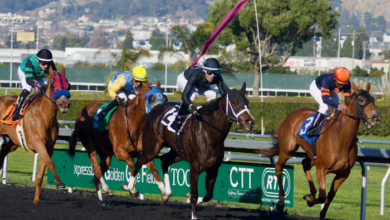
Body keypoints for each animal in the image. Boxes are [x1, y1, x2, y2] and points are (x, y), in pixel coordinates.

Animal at [0, 66, 71, 204]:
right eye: (53, 86)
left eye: (68, 86)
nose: (64, 105)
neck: (44, 115)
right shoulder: (38, 143)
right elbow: (51, 163)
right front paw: (59, 183)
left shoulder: (49, 147)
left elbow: (41, 172)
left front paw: (36, 199)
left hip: (13, 141)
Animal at [126, 82, 256, 218]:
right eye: (234, 102)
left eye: (247, 101)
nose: (249, 121)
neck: (209, 133)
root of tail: (154, 109)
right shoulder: (194, 167)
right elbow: (194, 195)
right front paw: (194, 215)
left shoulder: (213, 168)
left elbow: (209, 195)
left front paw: (192, 198)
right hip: (152, 148)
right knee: (140, 159)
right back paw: (131, 187)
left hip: (177, 152)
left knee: (164, 160)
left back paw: (166, 194)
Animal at [258, 83, 380, 220]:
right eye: (361, 100)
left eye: (373, 100)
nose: (376, 118)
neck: (341, 137)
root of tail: (290, 115)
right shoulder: (322, 169)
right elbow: (322, 196)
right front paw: (309, 199)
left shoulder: (343, 173)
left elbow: (329, 196)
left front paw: (319, 210)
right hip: (287, 149)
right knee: (279, 166)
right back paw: (281, 202)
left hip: (312, 155)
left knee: (305, 163)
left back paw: (311, 192)